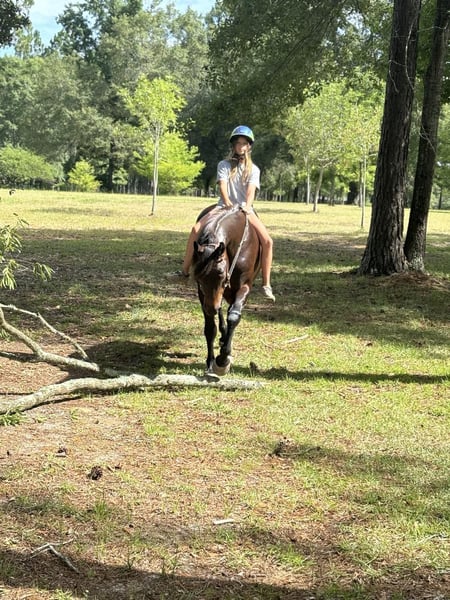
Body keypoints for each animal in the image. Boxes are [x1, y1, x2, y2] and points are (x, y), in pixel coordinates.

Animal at [192, 206, 261, 376]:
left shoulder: (244, 287)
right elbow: (210, 328)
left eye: (221, 274)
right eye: (199, 277)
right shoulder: (203, 294)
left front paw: (223, 360)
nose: (211, 307)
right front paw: (211, 362)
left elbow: (234, 316)